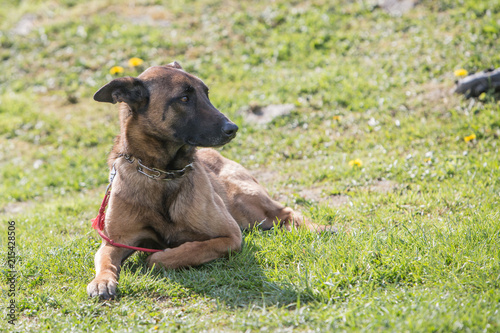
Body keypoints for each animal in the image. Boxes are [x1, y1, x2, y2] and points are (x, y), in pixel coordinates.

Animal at [88, 61, 330, 298]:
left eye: (206, 94)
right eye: (184, 98)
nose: (233, 128)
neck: (162, 174)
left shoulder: (230, 236)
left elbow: (178, 253)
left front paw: (157, 257)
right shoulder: (116, 241)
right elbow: (104, 260)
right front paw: (102, 281)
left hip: (245, 205)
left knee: (285, 213)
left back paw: (319, 228)